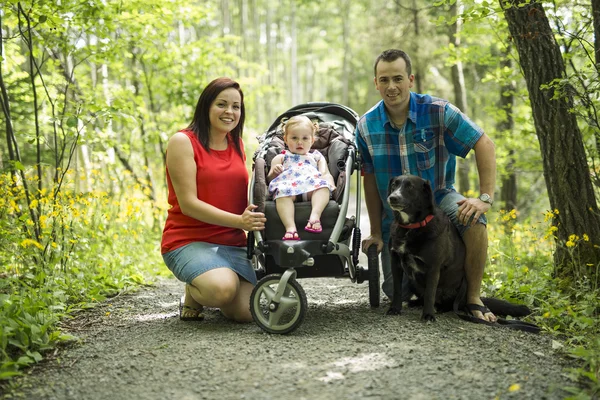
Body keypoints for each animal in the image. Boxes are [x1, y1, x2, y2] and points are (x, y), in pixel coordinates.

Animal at [384, 175, 536, 328]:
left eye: (410, 187)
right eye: (394, 185)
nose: (392, 198)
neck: (411, 227)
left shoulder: (433, 267)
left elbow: (430, 293)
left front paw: (428, 315)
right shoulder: (395, 262)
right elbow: (397, 289)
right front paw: (395, 309)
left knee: (447, 304)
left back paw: (440, 308)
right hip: (412, 281)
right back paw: (415, 303)